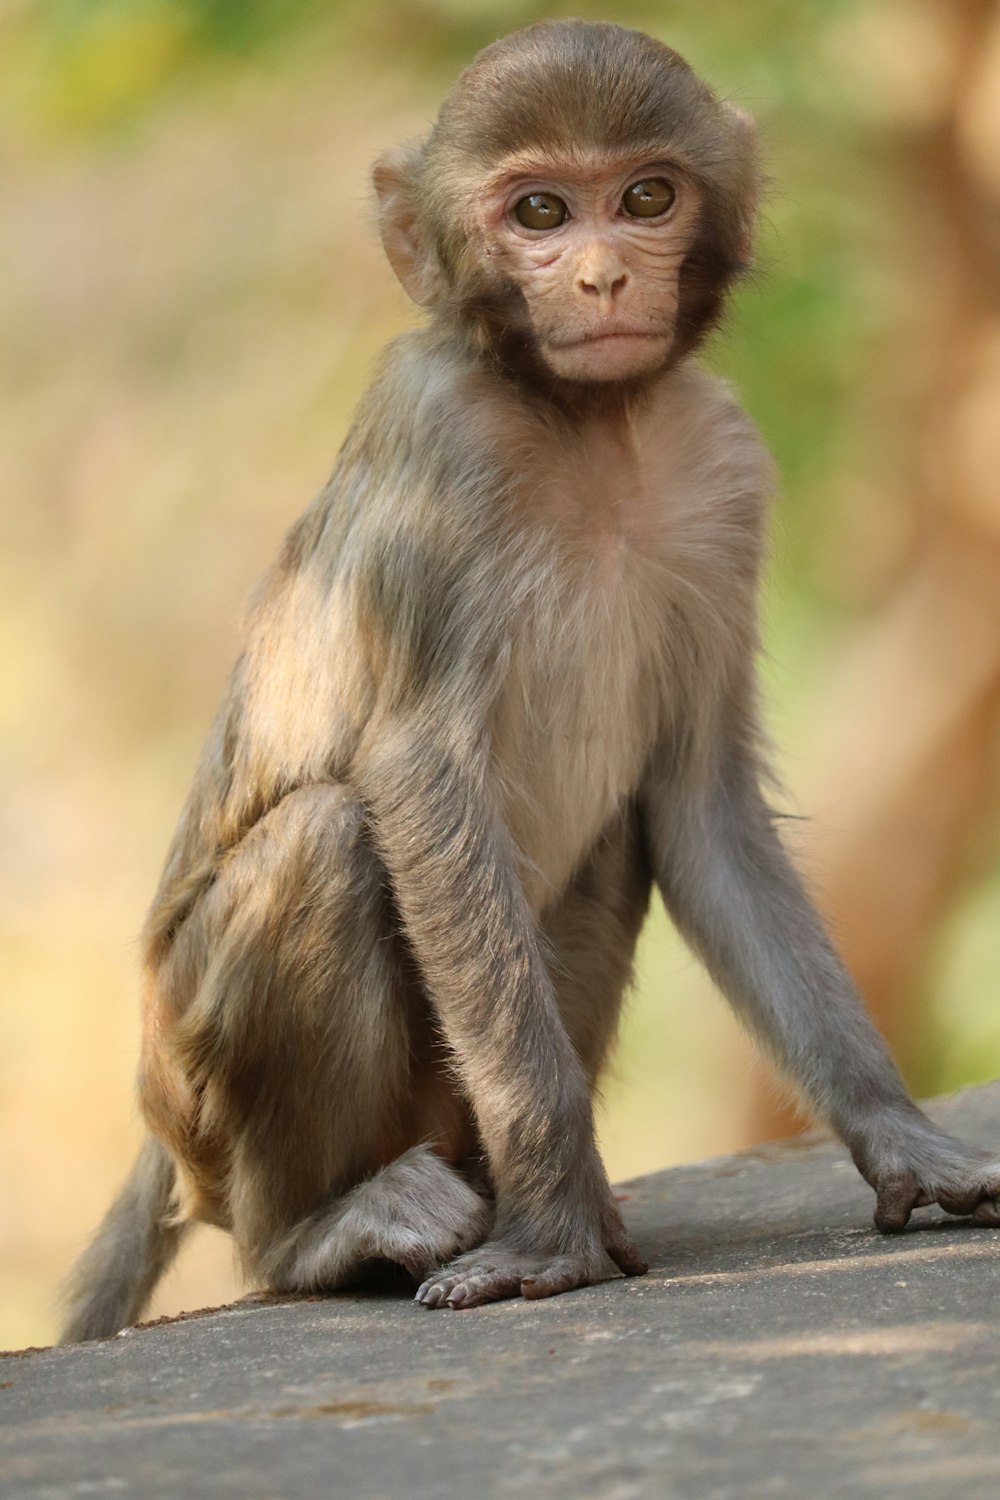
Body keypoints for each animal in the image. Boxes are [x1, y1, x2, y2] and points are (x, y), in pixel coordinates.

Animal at [60, 20, 1000, 1338]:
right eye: (540, 211)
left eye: (645, 198)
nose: (601, 278)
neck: (591, 426)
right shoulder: (441, 438)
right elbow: (416, 780)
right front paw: (552, 1226)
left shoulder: (725, 467)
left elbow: (698, 807)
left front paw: (903, 1137)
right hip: (198, 1101)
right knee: (331, 838)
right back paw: (325, 1228)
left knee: (613, 841)